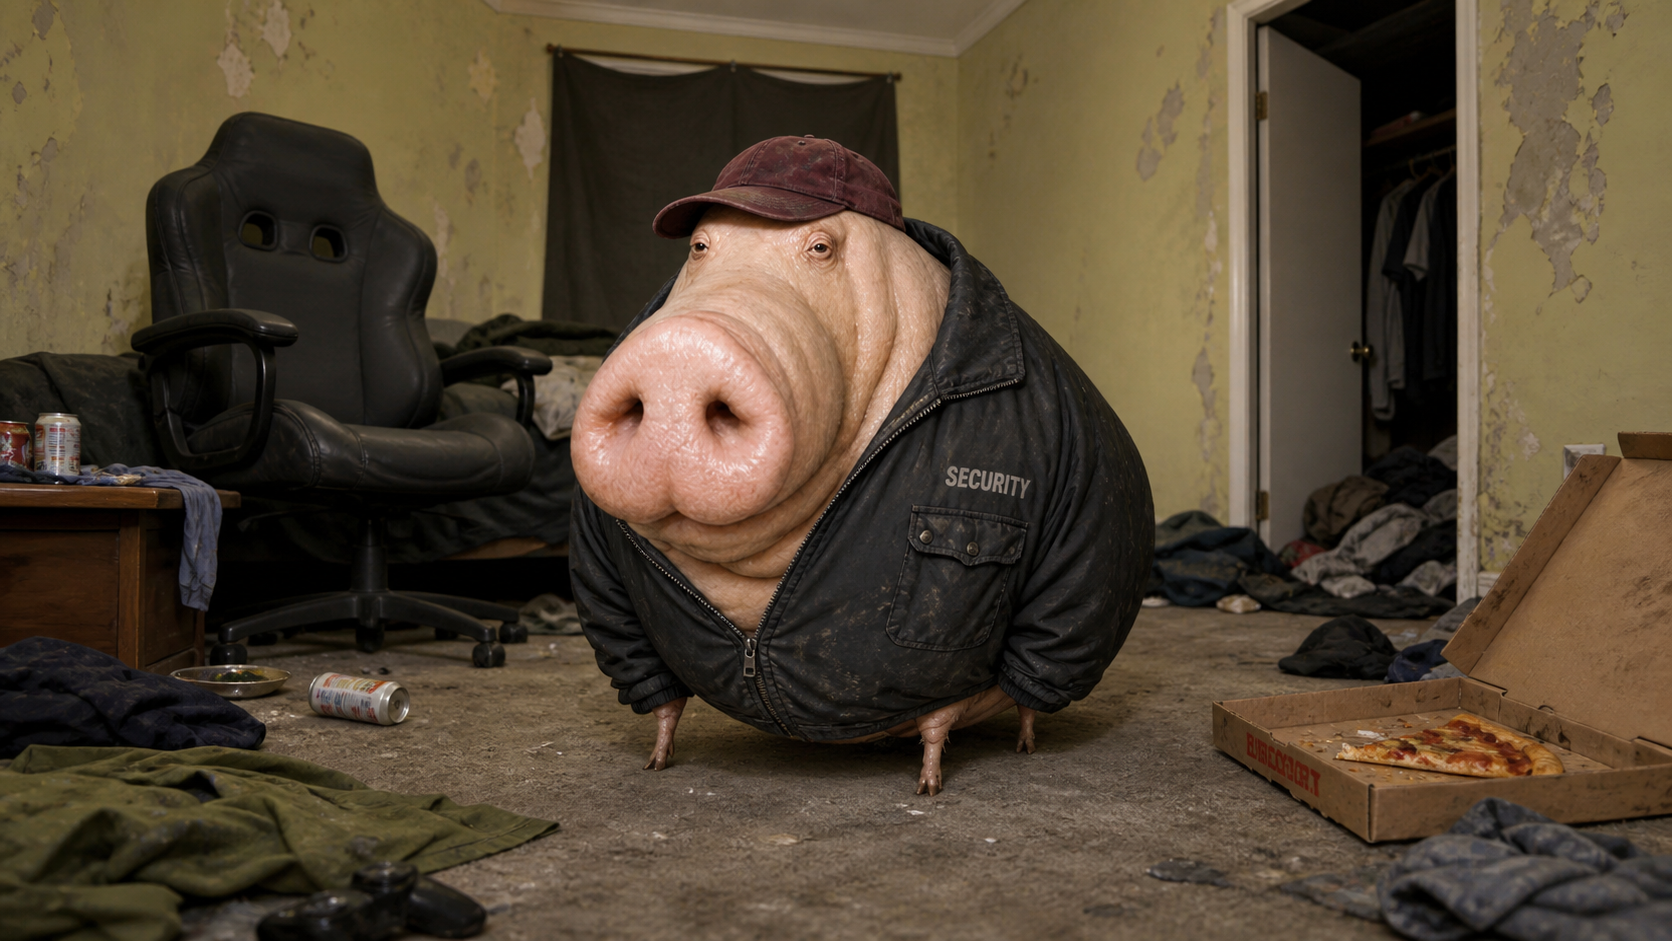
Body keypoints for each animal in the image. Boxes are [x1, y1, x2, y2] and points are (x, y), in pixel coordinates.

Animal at [570, 136, 1152, 794]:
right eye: (699, 247)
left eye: (821, 247)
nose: (679, 350)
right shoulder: (597, 563)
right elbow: (656, 686)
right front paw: (656, 762)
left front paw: (933, 785)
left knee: (971, 705)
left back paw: (978, 764)